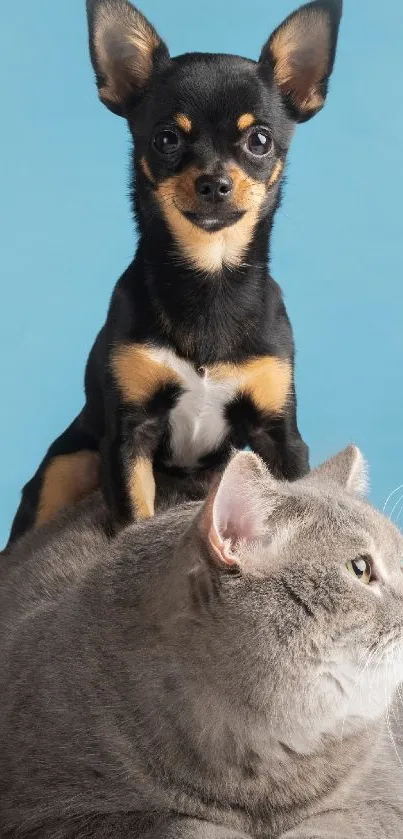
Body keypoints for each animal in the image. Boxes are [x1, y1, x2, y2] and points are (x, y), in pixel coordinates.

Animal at [4, 0, 342, 552]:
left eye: (260, 140)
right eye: (166, 139)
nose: (214, 182)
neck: (209, 279)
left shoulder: (280, 436)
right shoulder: (129, 438)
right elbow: (133, 519)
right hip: (65, 469)